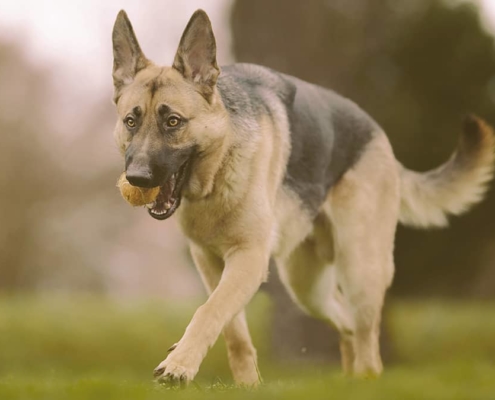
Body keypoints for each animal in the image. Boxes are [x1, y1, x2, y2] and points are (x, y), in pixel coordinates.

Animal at [112, 9, 495, 384]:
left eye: (173, 122)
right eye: (131, 121)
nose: (137, 178)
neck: (218, 171)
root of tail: (378, 134)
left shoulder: (248, 259)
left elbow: (211, 310)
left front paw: (179, 365)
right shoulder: (211, 263)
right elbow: (233, 330)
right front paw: (246, 386)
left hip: (360, 270)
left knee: (367, 341)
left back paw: (366, 379)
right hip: (306, 287)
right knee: (346, 323)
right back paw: (349, 381)